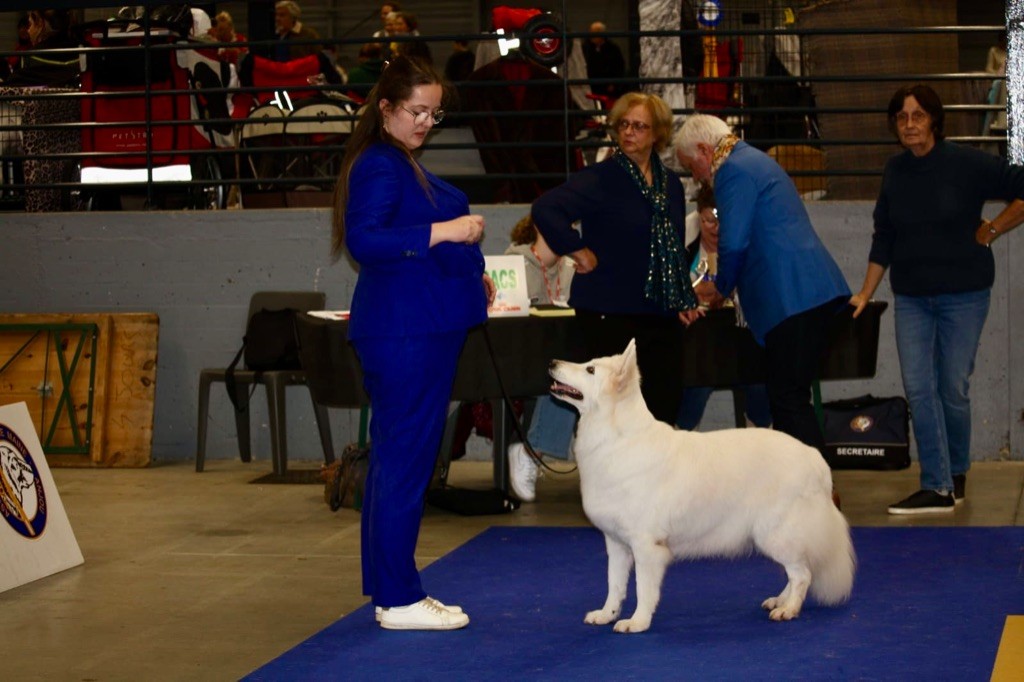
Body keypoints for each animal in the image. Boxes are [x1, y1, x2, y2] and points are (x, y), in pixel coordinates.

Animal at [552, 339, 856, 630]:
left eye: (590, 369)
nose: (553, 362)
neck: (617, 437)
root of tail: (815, 458)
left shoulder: (647, 546)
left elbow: (643, 590)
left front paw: (637, 622)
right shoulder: (615, 543)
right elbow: (614, 585)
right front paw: (607, 615)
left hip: (775, 534)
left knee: (803, 573)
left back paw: (789, 609)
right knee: (797, 572)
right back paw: (780, 600)